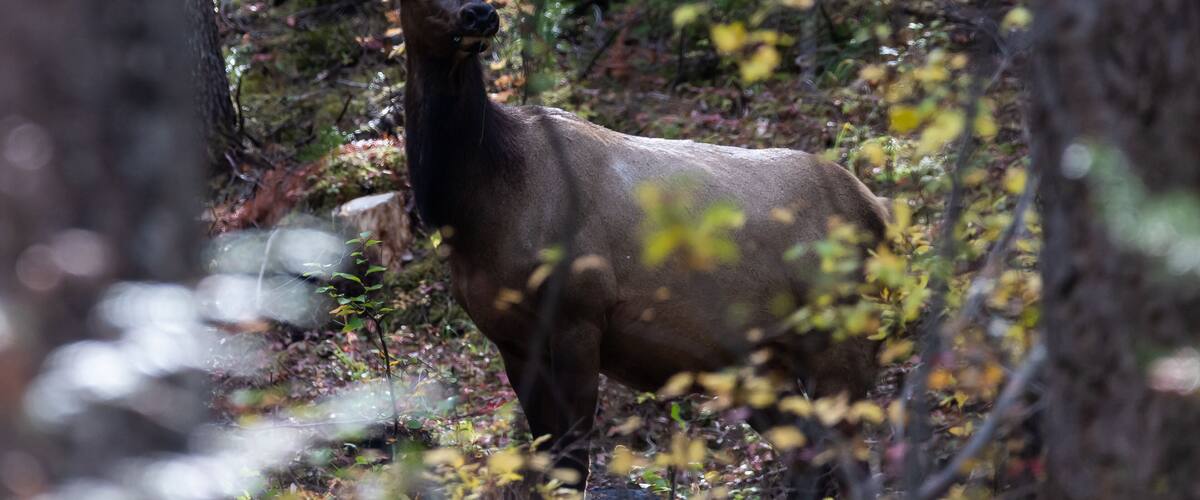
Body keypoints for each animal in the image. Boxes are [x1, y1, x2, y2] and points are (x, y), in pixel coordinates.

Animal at [398, 0, 889, 494]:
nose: (479, 14)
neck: (478, 206)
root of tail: (880, 210)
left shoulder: (579, 313)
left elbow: (573, 465)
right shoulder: (510, 339)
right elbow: (545, 463)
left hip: (842, 340)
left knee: (855, 466)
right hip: (757, 365)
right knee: (808, 454)